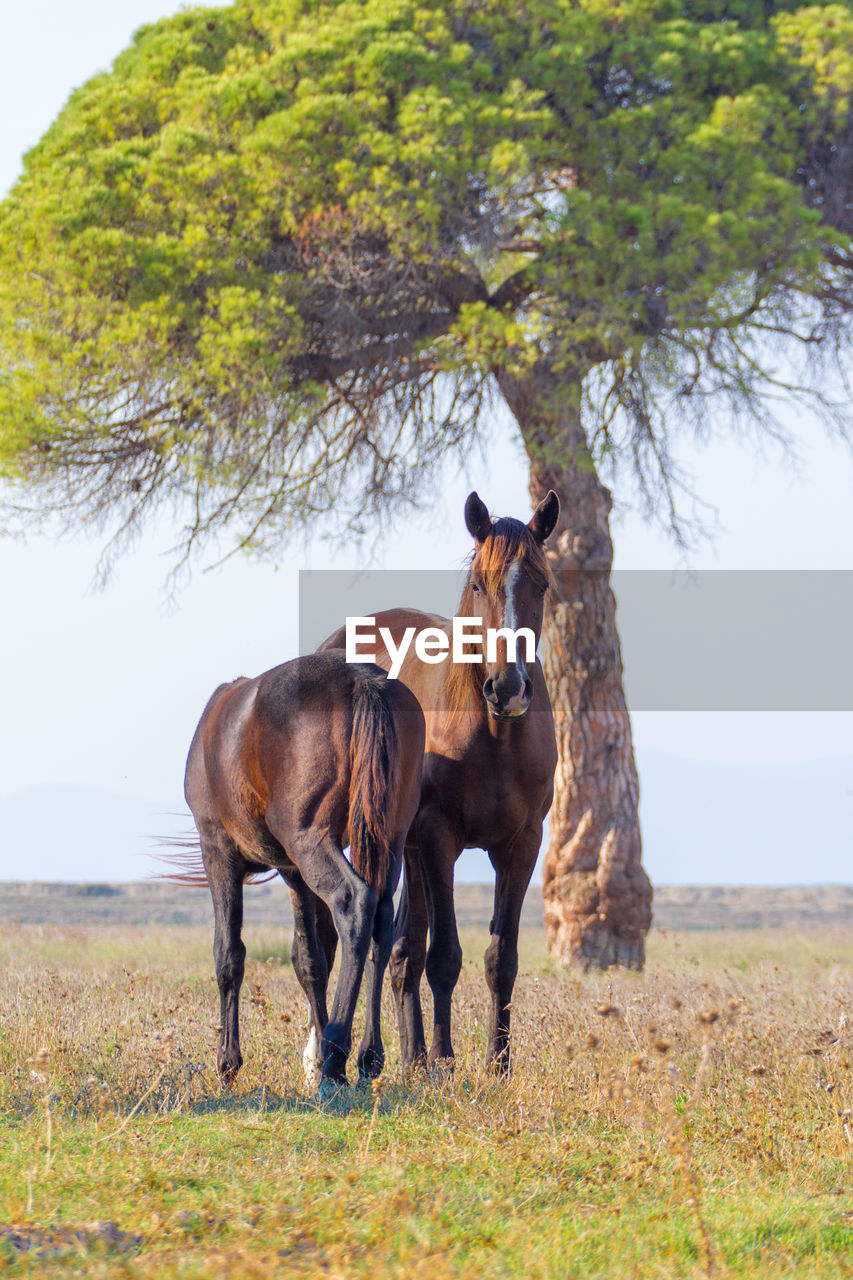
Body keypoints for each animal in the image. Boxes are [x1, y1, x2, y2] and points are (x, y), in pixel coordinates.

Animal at [180, 655, 420, 1085]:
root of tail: (360, 679)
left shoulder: (218, 851)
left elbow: (228, 953)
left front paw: (228, 1061)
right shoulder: (293, 873)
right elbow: (310, 960)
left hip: (311, 842)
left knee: (353, 903)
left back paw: (337, 1055)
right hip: (386, 840)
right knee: (380, 918)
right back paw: (367, 1057)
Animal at [320, 488, 558, 1070]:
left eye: (541, 584)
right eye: (478, 584)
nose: (509, 687)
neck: (495, 735)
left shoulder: (522, 845)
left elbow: (501, 958)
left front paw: (497, 1065)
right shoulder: (439, 839)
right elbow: (444, 956)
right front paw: (449, 1061)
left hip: (408, 850)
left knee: (402, 945)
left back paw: (414, 1057)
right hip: (392, 843)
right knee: (386, 941)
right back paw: (390, 1056)